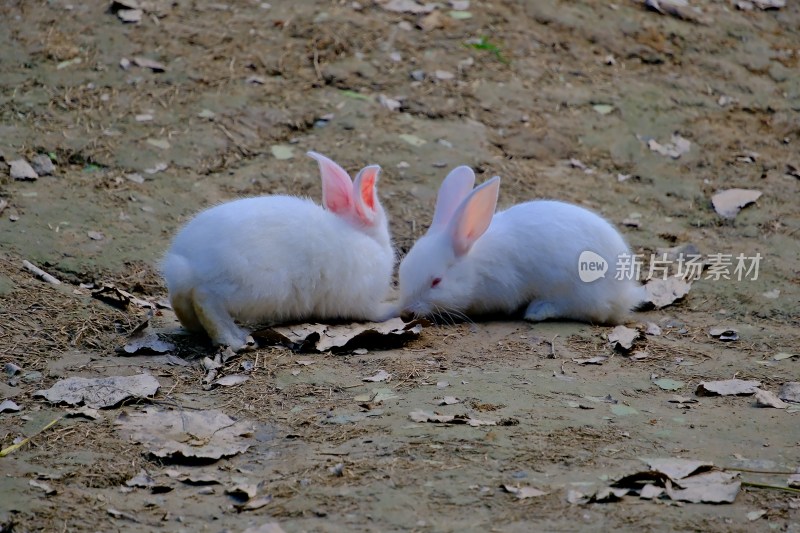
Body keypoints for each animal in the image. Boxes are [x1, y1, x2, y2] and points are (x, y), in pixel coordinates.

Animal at [162, 151, 396, 350]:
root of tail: (188, 263)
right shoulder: (363, 301)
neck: (365, 237)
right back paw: (234, 339)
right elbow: (374, 313)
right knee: (204, 299)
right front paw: (393, 308)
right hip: (253, 287)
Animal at [396, 166, 648, 324]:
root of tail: (626, 292)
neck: (474, 267)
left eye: (436, 282)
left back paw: (538, 311)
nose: (407, 310)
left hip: (579, 290)